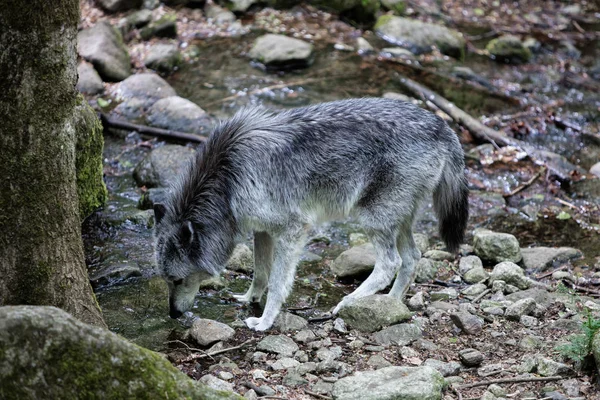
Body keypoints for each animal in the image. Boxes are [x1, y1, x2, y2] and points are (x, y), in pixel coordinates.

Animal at [151, 97, 468, 332]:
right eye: (166, 279)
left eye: (177, 280)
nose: (173, 314)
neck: (228, 176)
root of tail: (443, 127)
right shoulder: (262, 231)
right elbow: (260, 273)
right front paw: (249, 298)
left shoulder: (292, 230)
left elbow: (277, 283)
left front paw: (264, 321)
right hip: (398, 219)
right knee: (412, 258)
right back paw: (389, 305)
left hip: (372, 219)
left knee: (391, 262)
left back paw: (349, 303)